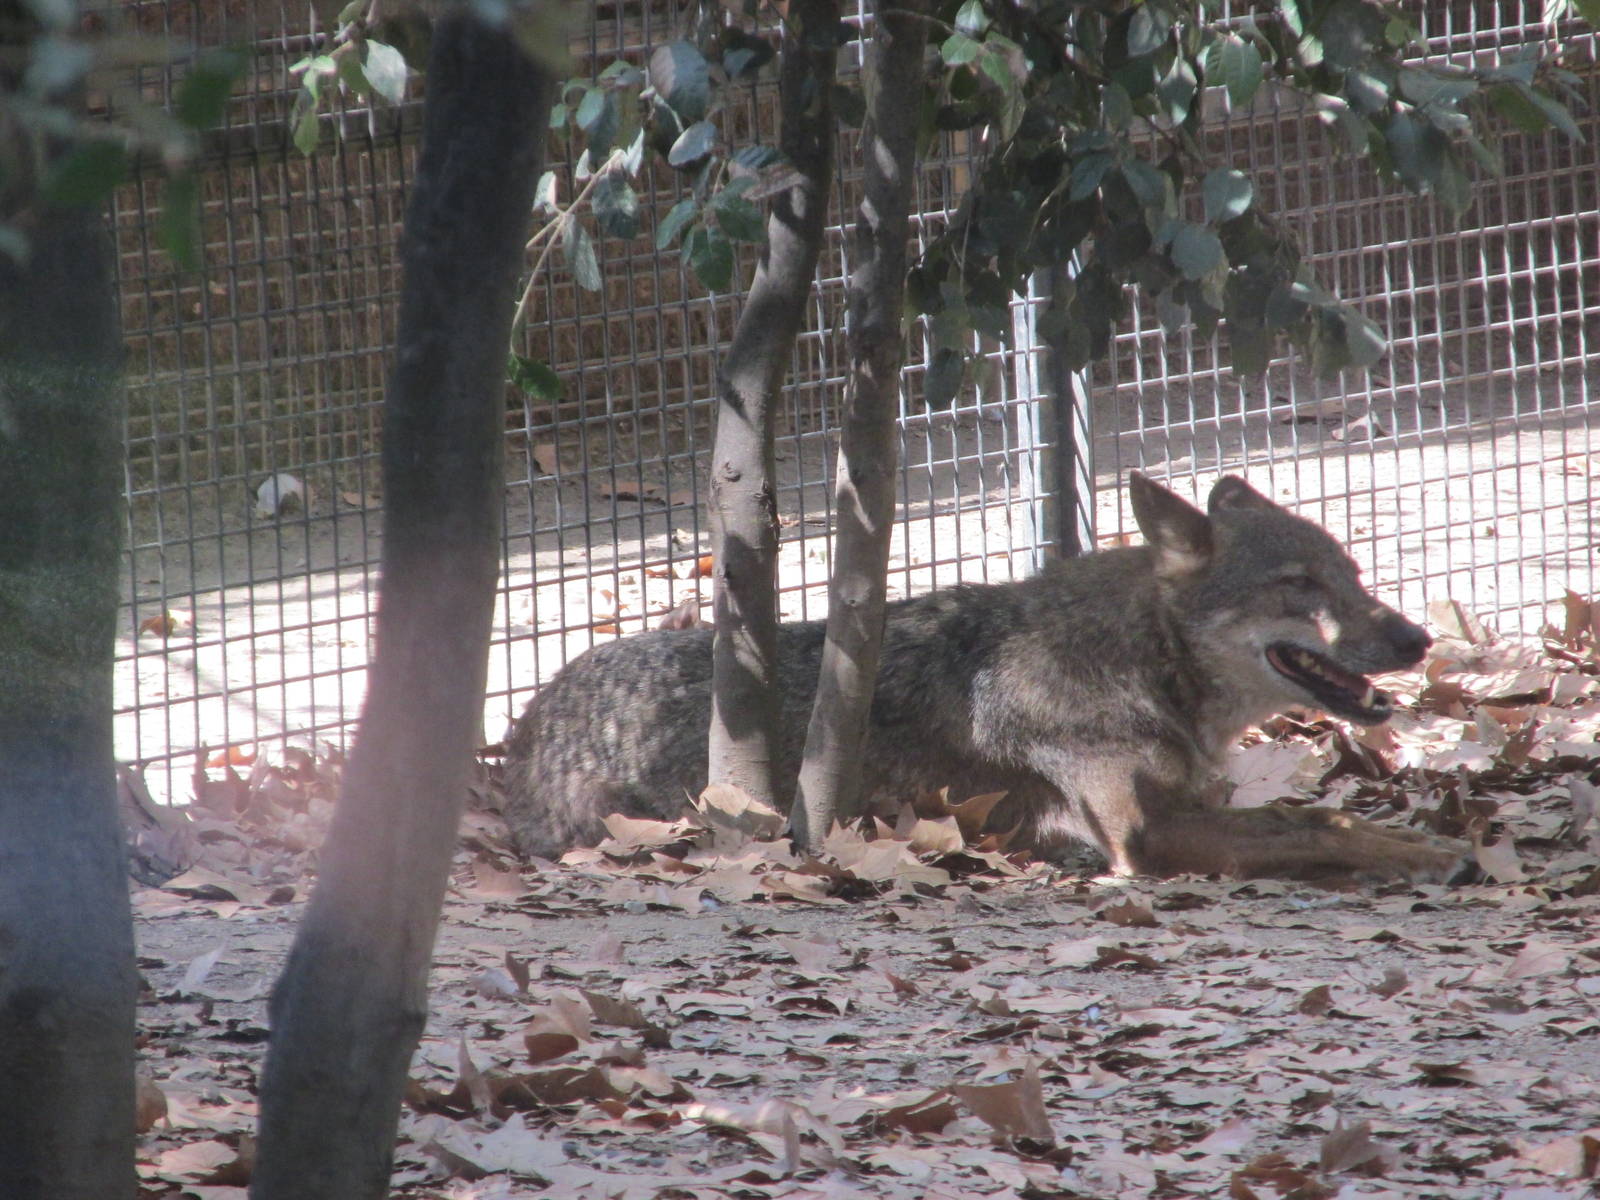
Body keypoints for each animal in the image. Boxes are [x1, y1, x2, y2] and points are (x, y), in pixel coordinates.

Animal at [501, 473, 1468, 882]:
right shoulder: (1140, 838)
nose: (1416, 638)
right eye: (1300, 586)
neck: (1135, 660)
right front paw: (1422, 853)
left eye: (1351, 573)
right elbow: (1316, 828)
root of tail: (524, 727)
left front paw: (1416, 845)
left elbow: (1322, 816)